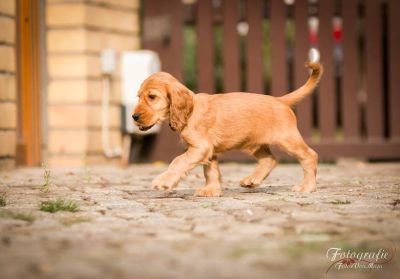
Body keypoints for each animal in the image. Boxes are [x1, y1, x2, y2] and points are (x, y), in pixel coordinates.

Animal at [133, 61, 324, 197]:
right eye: (138, 97)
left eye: (152, 97)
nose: (134, 117)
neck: (191, 110)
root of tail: (280, 100)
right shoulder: (209, 151)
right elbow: (210, 171)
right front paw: (211, 190)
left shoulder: (200, 147)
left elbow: (178, 161)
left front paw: (163, 181)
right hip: (253, 143)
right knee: (270, 159)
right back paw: (252, 180)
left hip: (287, 140)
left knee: (309, 155)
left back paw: (307, 186)